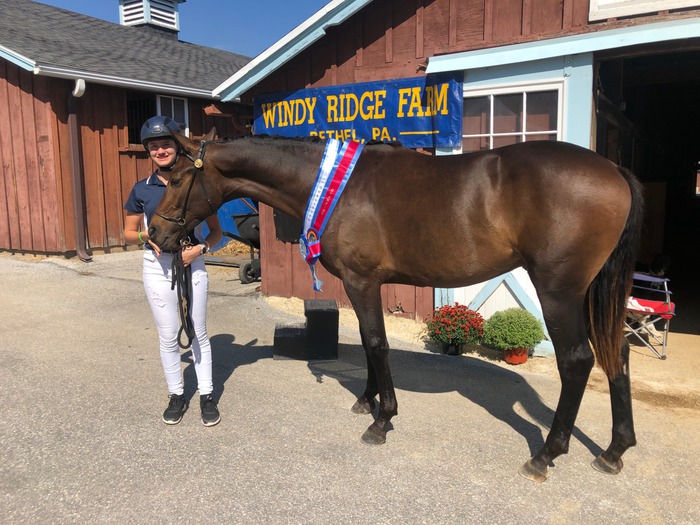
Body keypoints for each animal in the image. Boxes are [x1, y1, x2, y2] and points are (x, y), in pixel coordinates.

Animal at [148, 129, 643, 482]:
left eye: (176, 178)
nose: (157, 234)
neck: (337, 187)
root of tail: (614, 169)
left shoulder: (361, 280)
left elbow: (375, 343)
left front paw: (381, 420)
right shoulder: (367, 284)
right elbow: (371, 345)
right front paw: (367, 401)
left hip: (559, 291)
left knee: (577, 361)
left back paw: (546, 454)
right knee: (617, 352)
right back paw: (614, 451)